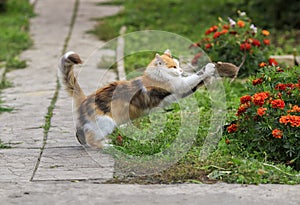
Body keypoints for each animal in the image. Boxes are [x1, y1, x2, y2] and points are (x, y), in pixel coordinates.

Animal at [59, 49, 216, 149]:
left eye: (178, 65)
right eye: (173, 66)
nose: (181, 71)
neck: (155, 76)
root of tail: (85, 99)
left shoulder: (180, 91)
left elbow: (195, 83)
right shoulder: (179, 86)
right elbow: (194, 77)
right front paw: (208, 68)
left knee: (81, 134)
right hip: (106, 123)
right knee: (92, 140)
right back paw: (107, 146)